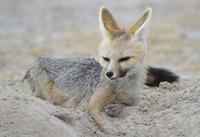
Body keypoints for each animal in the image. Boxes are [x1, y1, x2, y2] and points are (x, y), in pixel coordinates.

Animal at [23, 6, 178, 132]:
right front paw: (111, 129)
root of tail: (39, 59)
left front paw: (114, 108)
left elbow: (123, 105)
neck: (122, 87)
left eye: (124, 59)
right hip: (46, 91)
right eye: (106, 58)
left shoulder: (133, 101)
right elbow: (102, 120)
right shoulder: (91, 105)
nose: (109, 73)